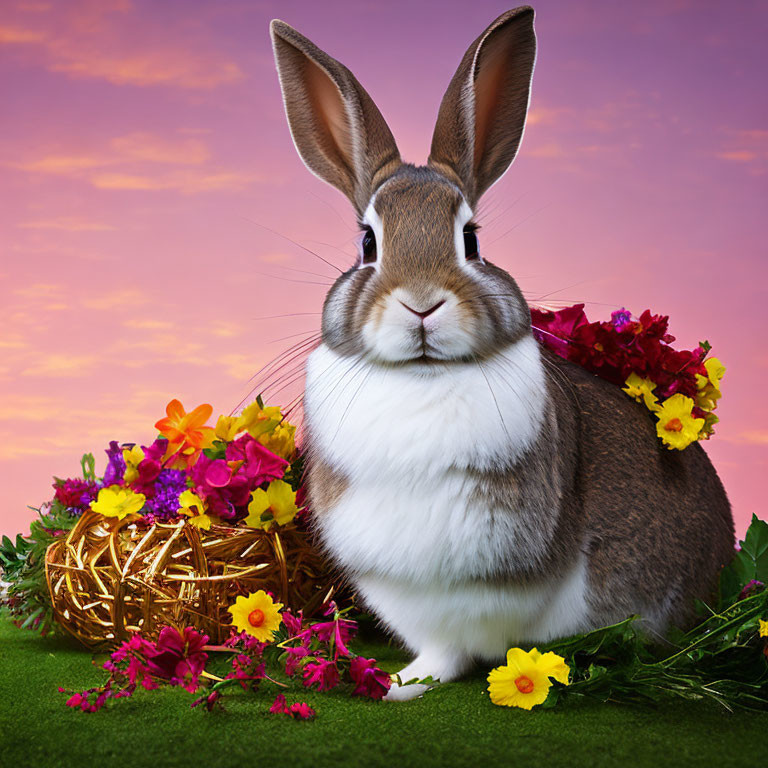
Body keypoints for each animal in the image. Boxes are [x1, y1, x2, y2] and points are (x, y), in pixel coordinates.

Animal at [268, 6, 732, 704]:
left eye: (472, 239)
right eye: (367, 243)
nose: (422, 304)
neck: (422, 379)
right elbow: (438, 651)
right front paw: (402, 684)